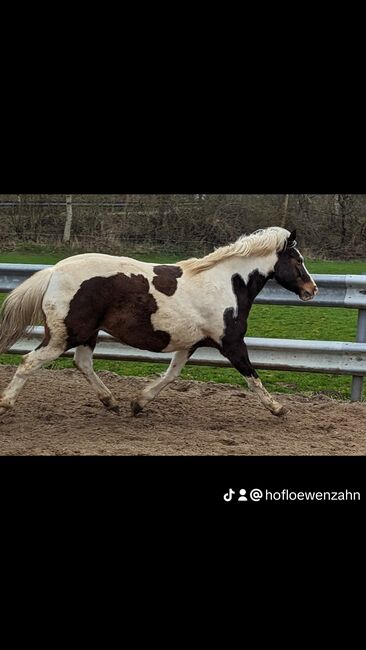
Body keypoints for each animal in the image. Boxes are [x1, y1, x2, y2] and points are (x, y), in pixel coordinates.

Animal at [0, 225, 318, 418]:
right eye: (298, 260)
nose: (312, 289)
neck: (226, 283)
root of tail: (53, 270)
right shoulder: (231, 343)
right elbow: (252, 377)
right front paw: (278, 408)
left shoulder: (190, 344)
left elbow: (171, 375)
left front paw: (138, 403)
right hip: (65, 335)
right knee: (29, 362)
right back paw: (6, 404)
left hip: (86, 334)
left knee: (83, 363)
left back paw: (111, 402)